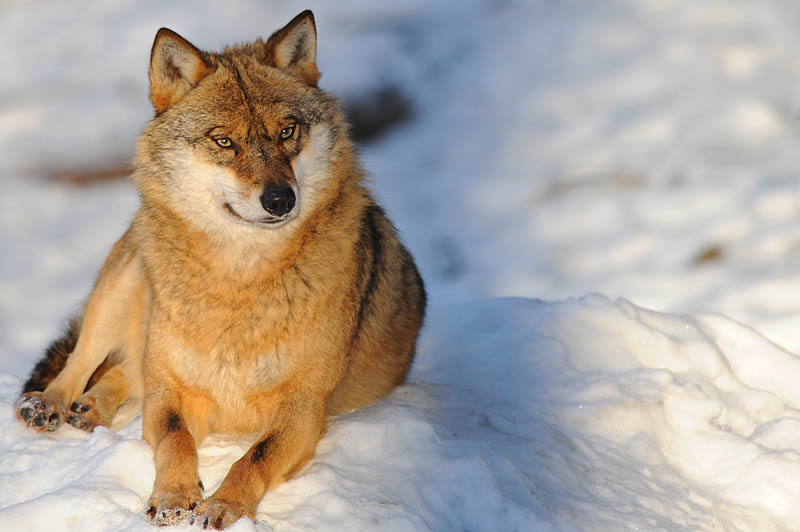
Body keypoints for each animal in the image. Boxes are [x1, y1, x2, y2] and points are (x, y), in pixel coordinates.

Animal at [12, 10, 424, 528]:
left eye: (286, 132)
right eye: (224, 141)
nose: (280, 199)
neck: (238, 281)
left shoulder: (304, 407)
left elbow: (255, 457)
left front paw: (225, 505)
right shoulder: (171, 392)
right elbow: (174, 437)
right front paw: (174, 496)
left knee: (123, 372)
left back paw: (88, 409)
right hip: (122, 284)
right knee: (81, 361)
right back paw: (51, 405)